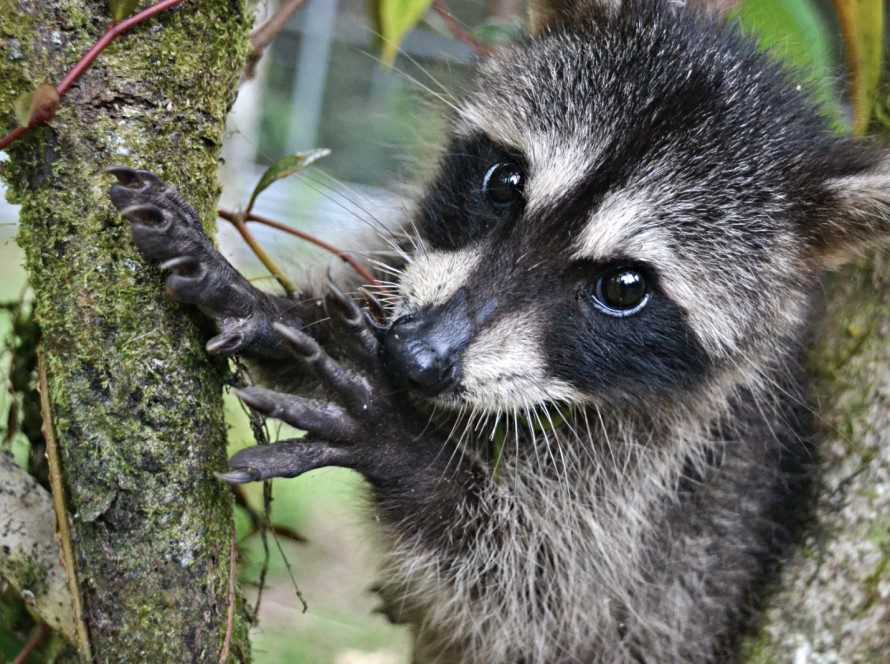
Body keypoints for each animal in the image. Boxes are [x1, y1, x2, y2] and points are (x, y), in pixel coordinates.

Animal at [107, 0, 889, 661]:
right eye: (504, 183)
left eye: (624, 288)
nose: (415, 358)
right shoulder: (407, 262)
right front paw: (274, 314)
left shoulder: (665, 486)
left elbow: (544, 597)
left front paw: (407, 452)